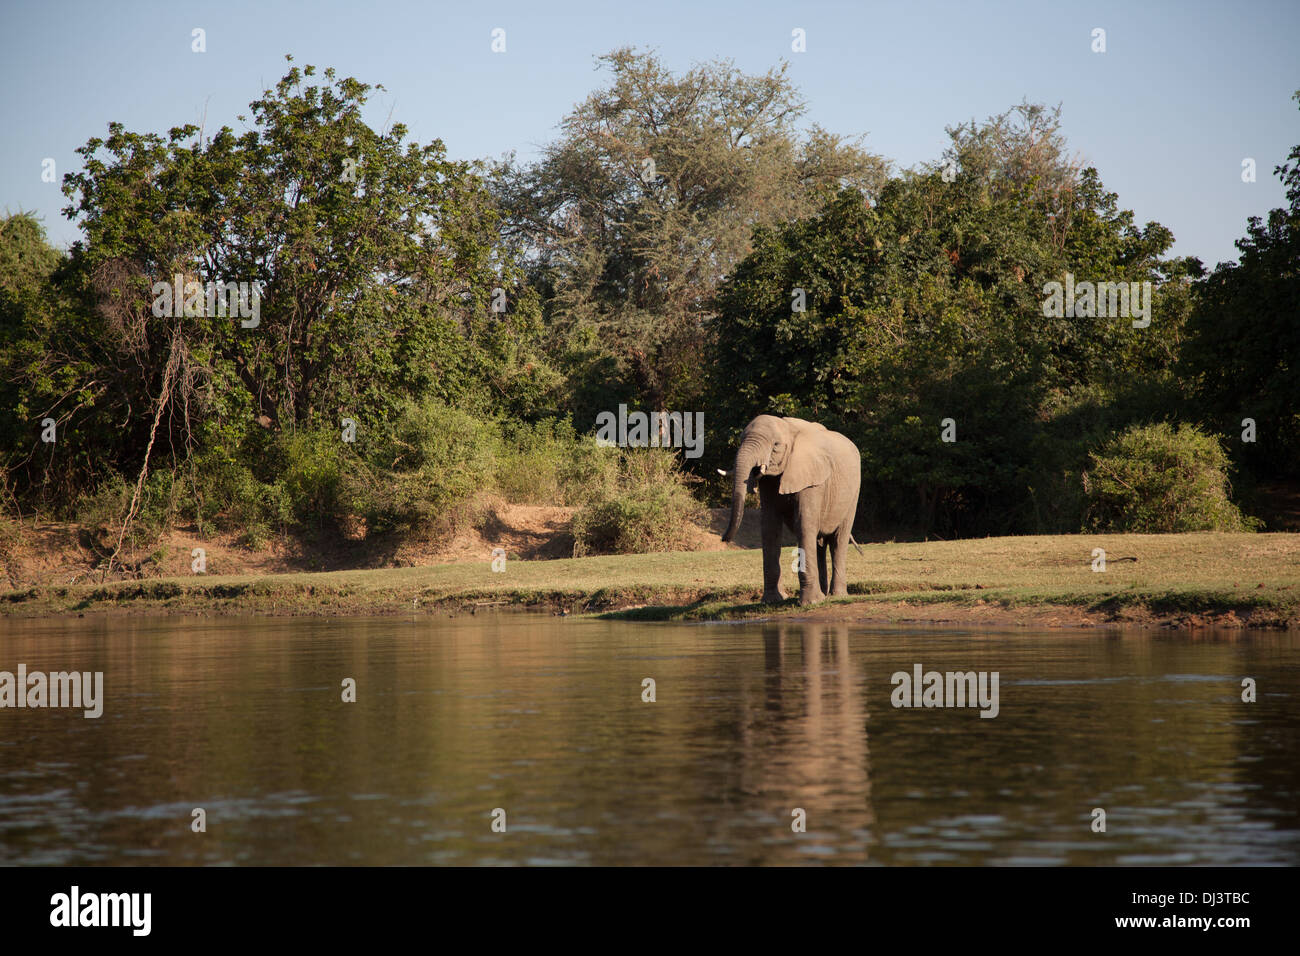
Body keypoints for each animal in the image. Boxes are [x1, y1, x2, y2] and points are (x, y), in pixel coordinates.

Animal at [722, 413, 863, 606]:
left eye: (775, 445)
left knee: (838, 541)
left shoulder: (812, 478)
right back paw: (824, 594)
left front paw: (810, 603)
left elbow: (804, 524)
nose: (724, 539)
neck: (788, 428)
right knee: (819, 544)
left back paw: (837, 596)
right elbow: (769, 527)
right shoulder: (770, 481)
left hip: (853, 494)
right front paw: (772, 600)